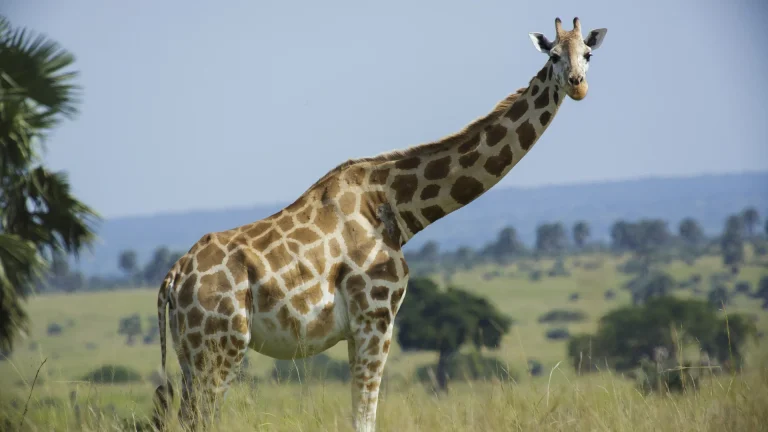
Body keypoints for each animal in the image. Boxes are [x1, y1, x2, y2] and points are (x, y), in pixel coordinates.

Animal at [152, 16, 607, 432]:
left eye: (587, 53)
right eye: (553, 55)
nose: (578, 85)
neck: (397, 207)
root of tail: (172, 279)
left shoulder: (360, 328)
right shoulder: (376, 316)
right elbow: (364, 417)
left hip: (192, 353)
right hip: (220, 347)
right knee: (199, 417)